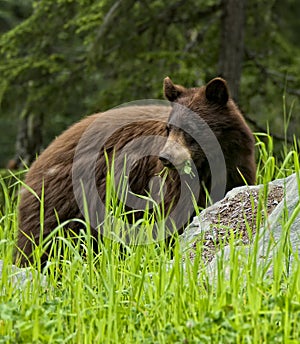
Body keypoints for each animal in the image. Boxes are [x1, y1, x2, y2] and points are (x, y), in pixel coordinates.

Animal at [15, 77, 255, 266]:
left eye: (192, 129)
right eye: (169, 128)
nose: (165, 157)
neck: (207, 165)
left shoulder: (235, 168)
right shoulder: (168, 184)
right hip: (62, 204)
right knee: (44, 242)